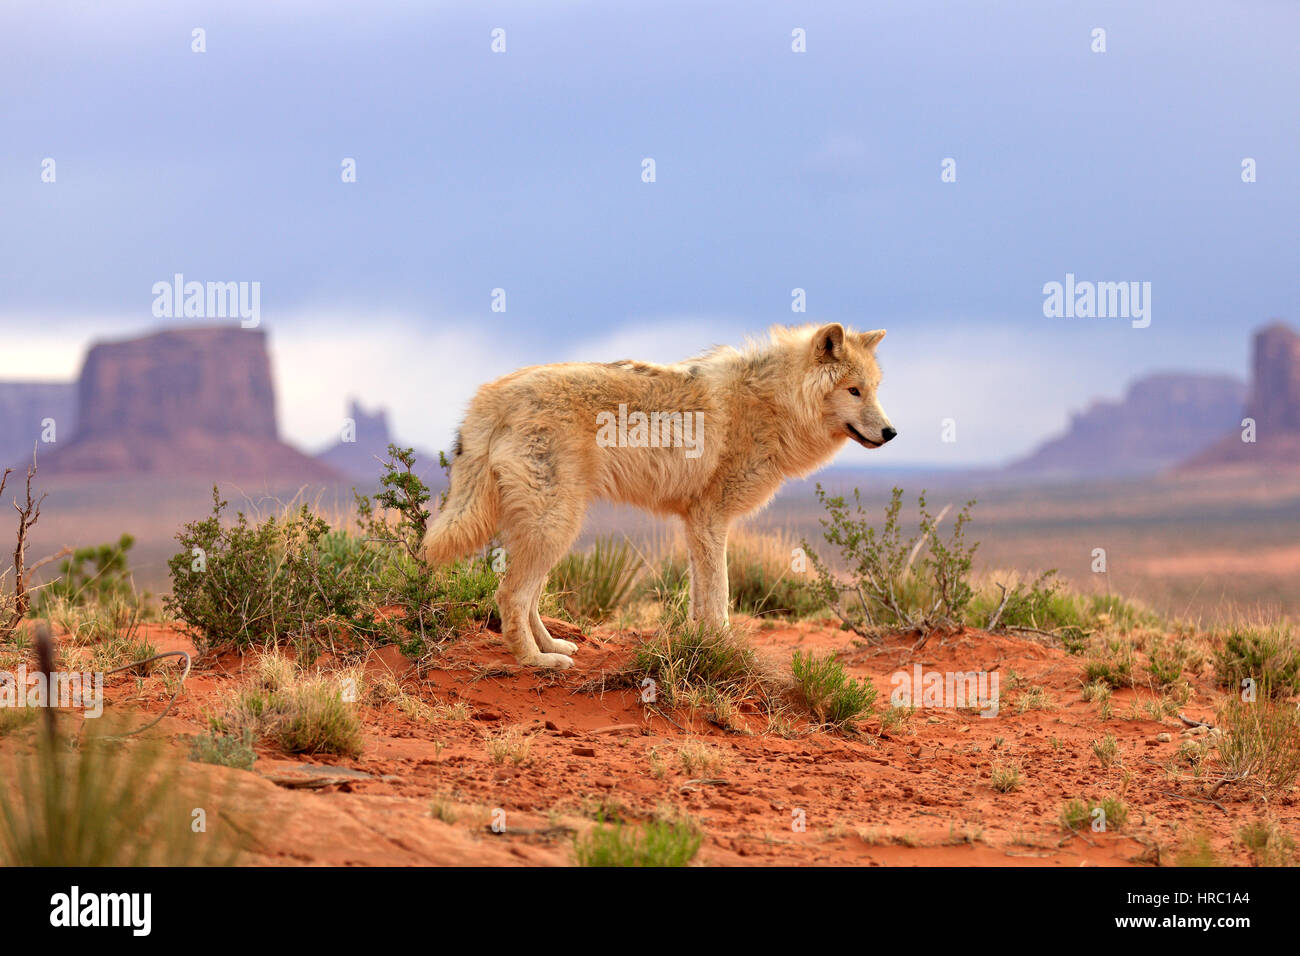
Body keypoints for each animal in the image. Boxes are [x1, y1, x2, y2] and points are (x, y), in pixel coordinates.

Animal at [420, 322, 896, 668]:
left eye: (874, 390)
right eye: (853, 391)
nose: (892, 433)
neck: (774, 402)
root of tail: (489, 397)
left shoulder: (696, 522)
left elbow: (700, 598)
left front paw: (702, 644)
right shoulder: (711, 519)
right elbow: (720, 597)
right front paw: (725, 650)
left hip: (552, 528)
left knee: (528, 596)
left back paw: (555, 646)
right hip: (554, 526)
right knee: (510, 596)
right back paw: (536, 661)